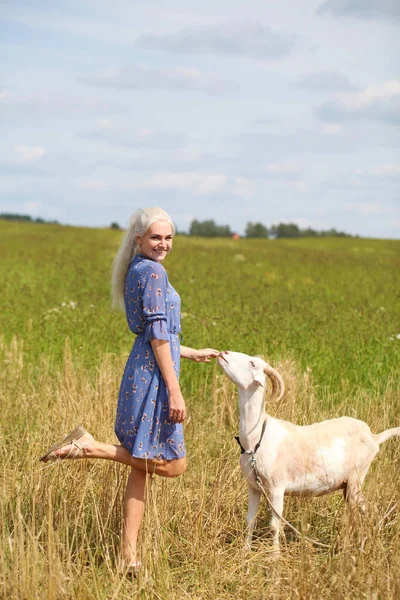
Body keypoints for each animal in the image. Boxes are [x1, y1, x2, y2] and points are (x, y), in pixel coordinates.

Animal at [219, 352, 400, 552]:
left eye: (252, 363)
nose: (224, 353)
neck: (257, 437)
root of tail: (374, 437)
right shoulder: (253, 486)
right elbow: (250, 521)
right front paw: (245, 550)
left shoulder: (276, 488)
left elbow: (275, 525)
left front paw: (275, 555)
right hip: (348, 485)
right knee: (365, 510)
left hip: (357, 477)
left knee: (360, 512)